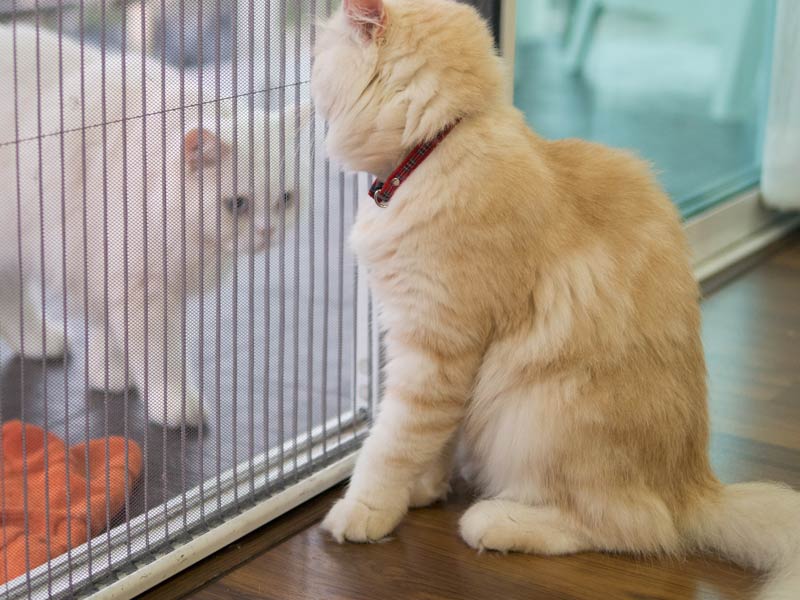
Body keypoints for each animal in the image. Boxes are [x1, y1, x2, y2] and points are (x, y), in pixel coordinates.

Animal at [0, 23, 310, 426]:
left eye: (285, 199)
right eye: (237, 204)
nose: (267, 232)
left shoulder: (103, 278)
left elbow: (107, 334)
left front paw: (110, 376)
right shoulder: (140, 291)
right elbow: (161, 360)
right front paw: (176, 407)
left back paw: (40, 342)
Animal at [312, 2, 800, 596]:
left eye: (318, 58)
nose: (306, 78)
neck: (440, 145)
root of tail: (695, 486)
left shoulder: (436, 346)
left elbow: (391, 442)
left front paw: (367, 510)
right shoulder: (432, 348)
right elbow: (435, 438)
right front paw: (425, 488)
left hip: (543, 413)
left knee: (636, 529)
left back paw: (498, 522)